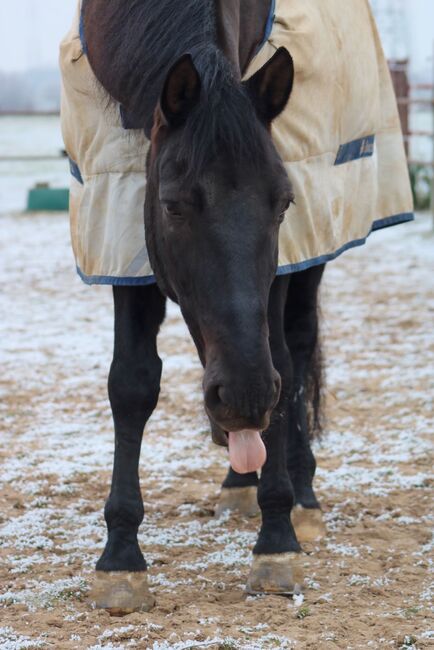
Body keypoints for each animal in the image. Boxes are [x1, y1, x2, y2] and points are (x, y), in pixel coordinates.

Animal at [82, 0, 326, 612]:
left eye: (283, 203)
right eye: (172, 206)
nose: (243, 397)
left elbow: (284, 364)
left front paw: (277, 540)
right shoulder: (124, 227)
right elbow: (132, 383)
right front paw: (121, 558)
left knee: (299, 350)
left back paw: (302, 494)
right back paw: (241, 479)